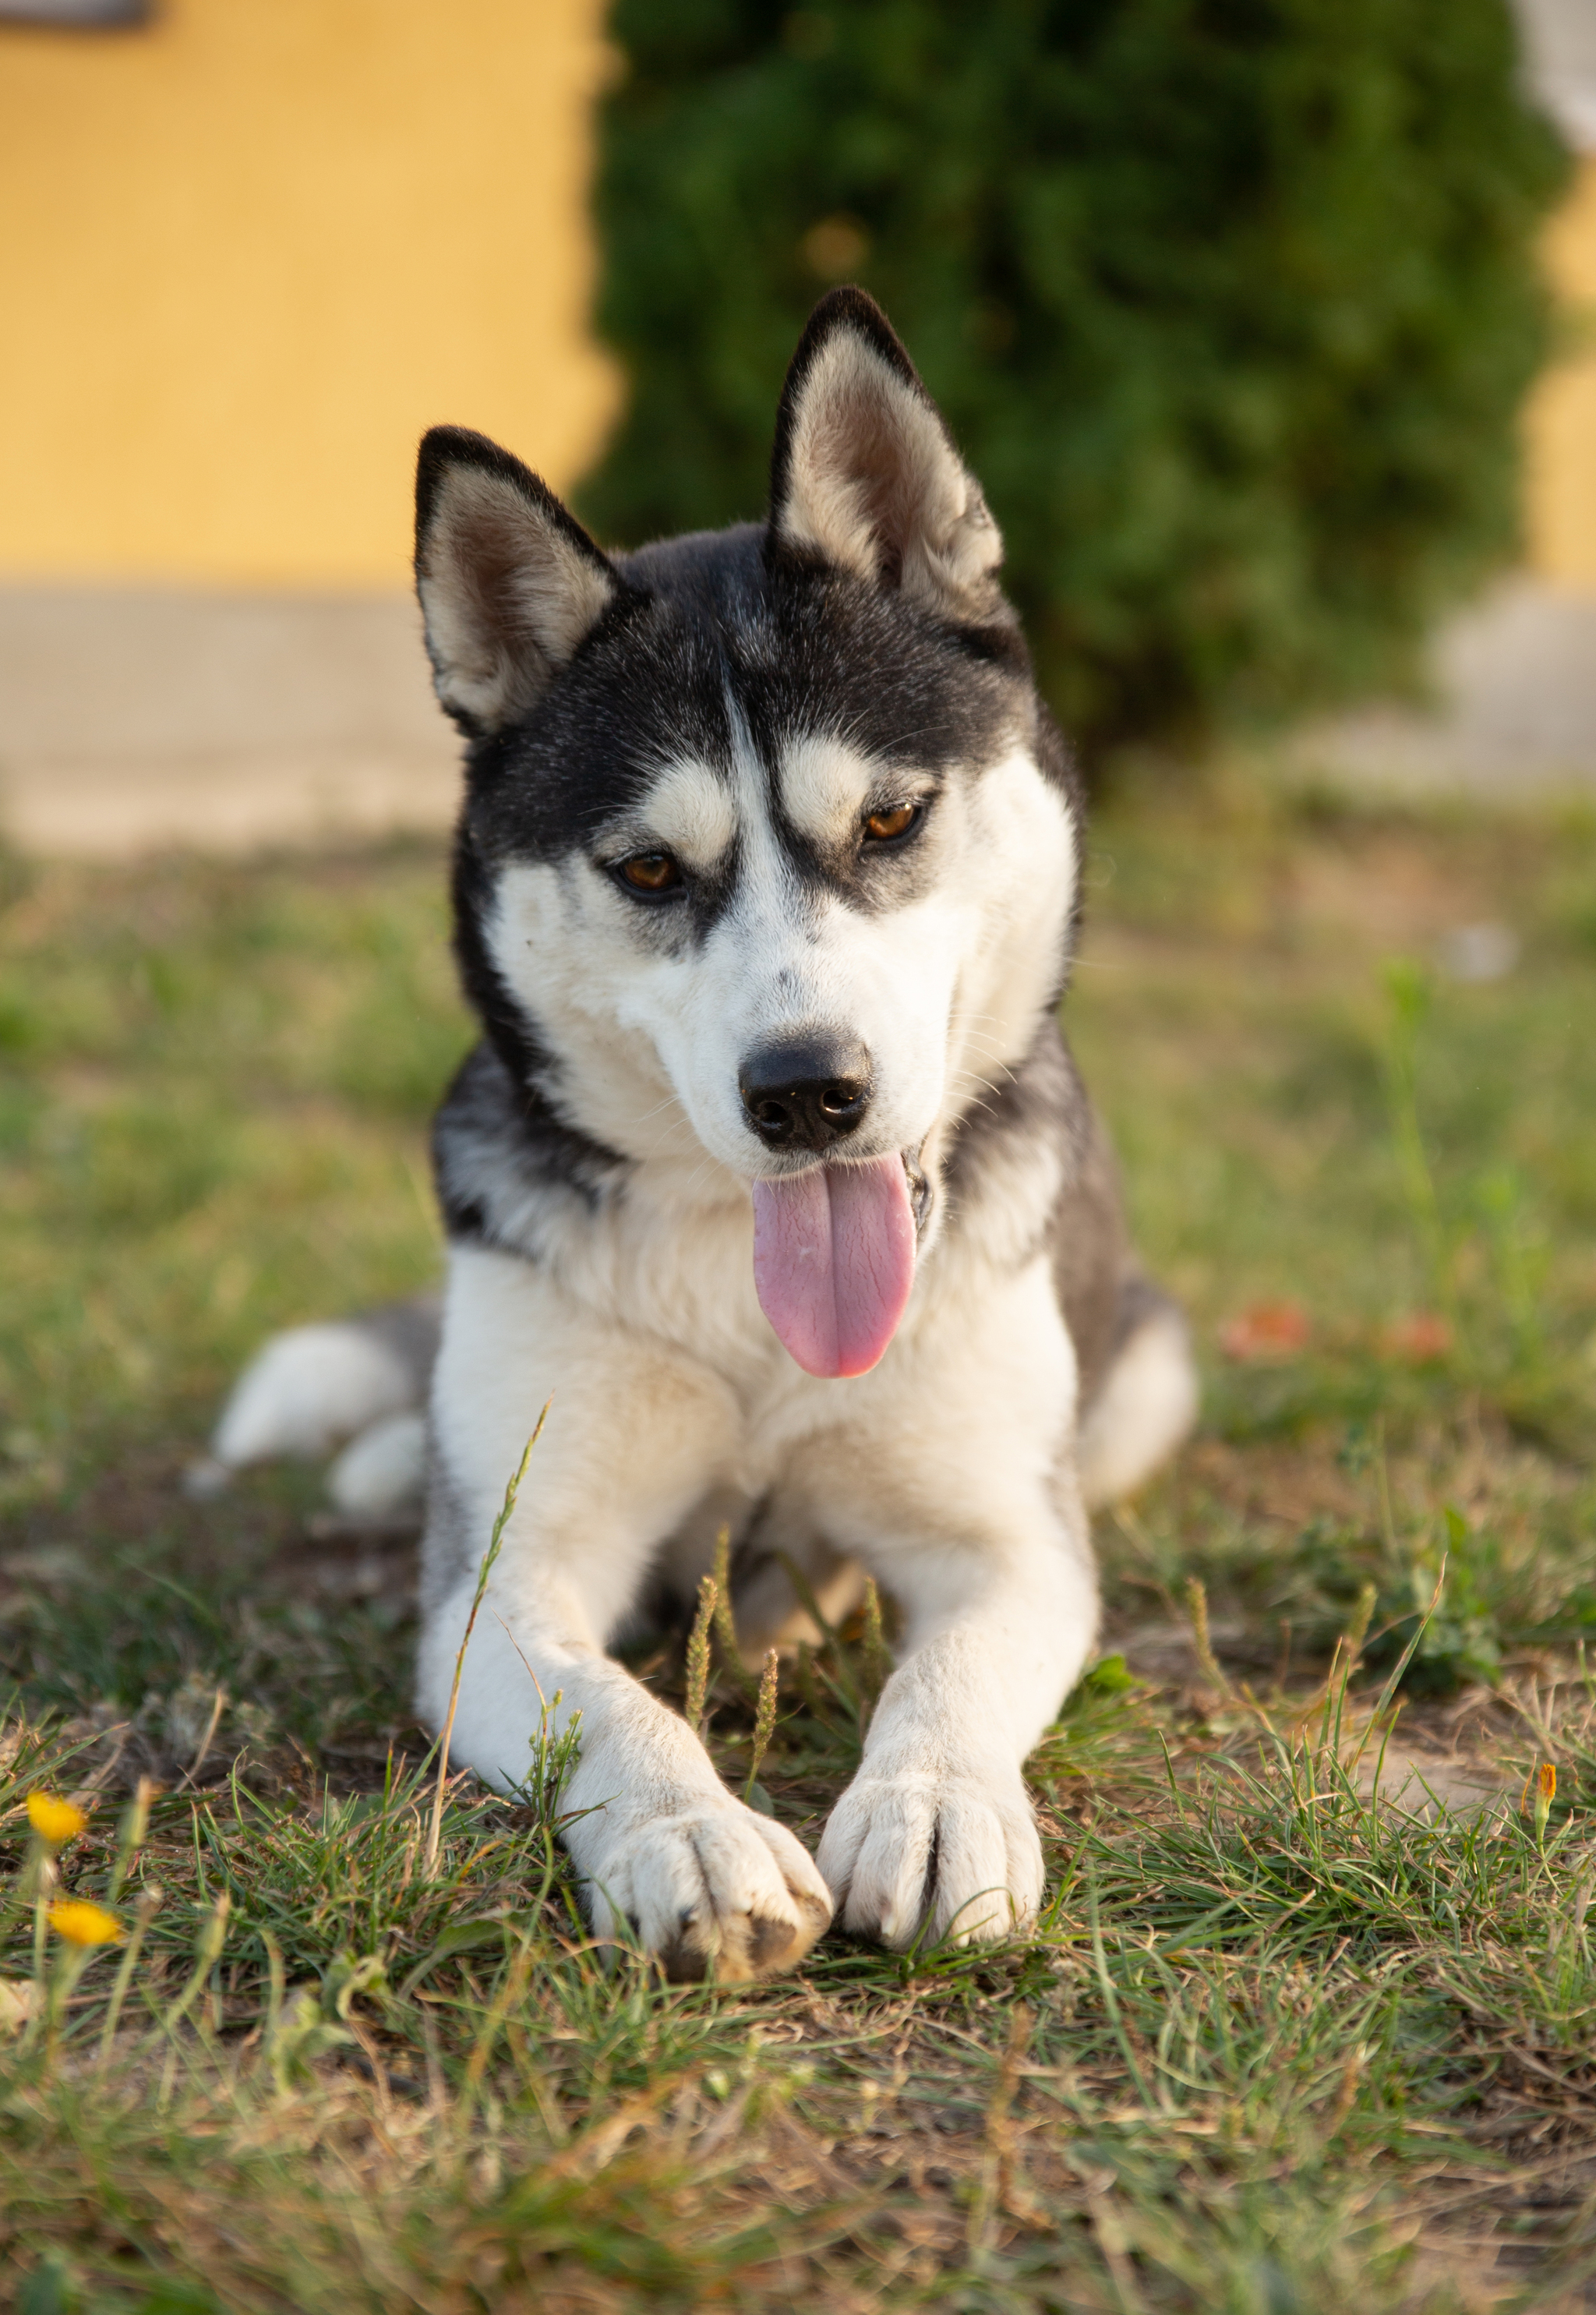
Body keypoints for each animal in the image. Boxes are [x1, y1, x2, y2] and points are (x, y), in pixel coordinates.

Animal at [204, 289, 1184, 1981]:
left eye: (888, 820)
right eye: (651, 871)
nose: (806, 1094)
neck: (746, 1291)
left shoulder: (1012, 1535)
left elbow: (954, 1672)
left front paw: (933, 1803)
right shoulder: (509, 1578)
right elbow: (606, 1707)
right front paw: (691, 1839)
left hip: (1146, 1376)